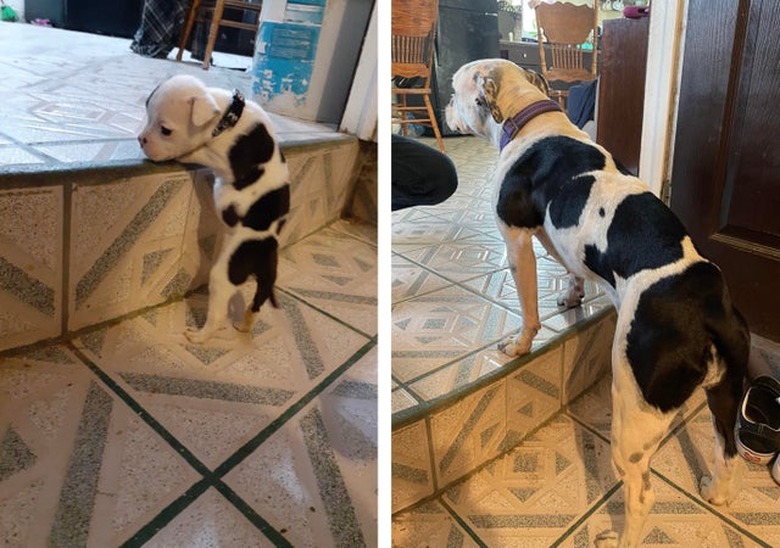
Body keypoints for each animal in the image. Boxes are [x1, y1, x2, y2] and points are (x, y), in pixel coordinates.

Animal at [138, 75, 290, 344]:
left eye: (165, 130)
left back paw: (200, 336)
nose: (141, 140)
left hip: (224, 274)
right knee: (258, 303)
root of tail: (267, 246)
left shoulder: (221, 159)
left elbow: (198, 152)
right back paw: (244, 324)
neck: (228, 116)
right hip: (263, 282)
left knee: (218, 316)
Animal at [448, 57, 752, 544]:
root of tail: (709, 306)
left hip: (632, 417)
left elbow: (528, 307)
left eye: (454, 91)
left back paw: (620, 537)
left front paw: (519, 346)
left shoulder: (516, 241)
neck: (530, 117)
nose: (443, 107)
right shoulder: (555, 237)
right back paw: (714, 492)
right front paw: (572, 297)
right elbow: (572, 269)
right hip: (725, 394)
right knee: (728, 451)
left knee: (642, 495)